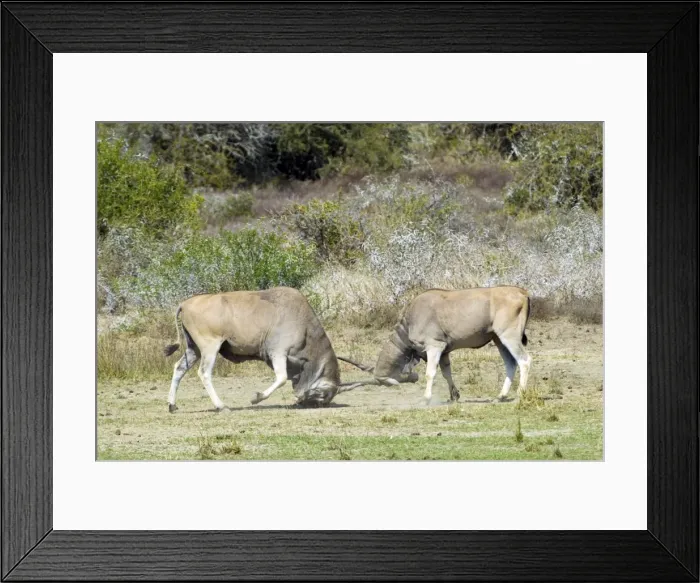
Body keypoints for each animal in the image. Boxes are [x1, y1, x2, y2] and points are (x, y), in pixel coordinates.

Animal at [163, 287, 363, 412]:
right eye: (326, 393)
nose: (308, 404)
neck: (305, 325)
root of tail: (184, 304)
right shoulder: (278, 353)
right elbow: (281, 378)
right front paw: (256, 397)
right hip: (210, 347)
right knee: (204, 373)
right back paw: (221, 406)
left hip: (194, 349)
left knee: (179, 368)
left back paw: (172, 405)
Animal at [339, 286, 532, 403]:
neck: (409, 322)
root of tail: (522, 292)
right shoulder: (444, 352)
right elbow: (447, 373)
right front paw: (454, 396)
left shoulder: (434, 347)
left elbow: (430, 373)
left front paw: (426, 398)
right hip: (498, 340)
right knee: (511, 363)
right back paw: (501, 396)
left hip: (509, 336)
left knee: (524, 360)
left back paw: (520, 395)